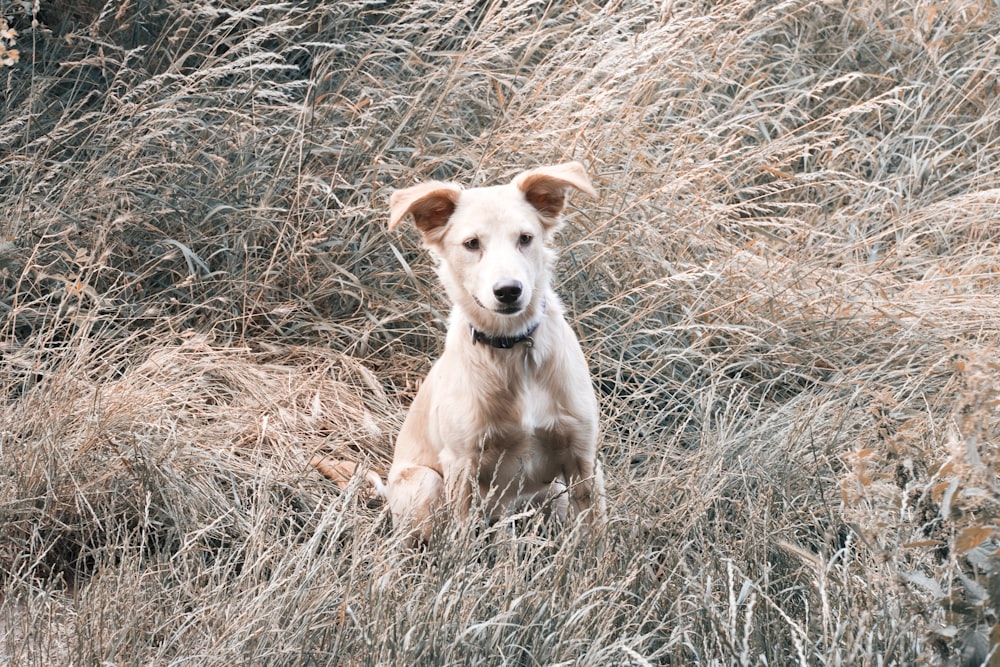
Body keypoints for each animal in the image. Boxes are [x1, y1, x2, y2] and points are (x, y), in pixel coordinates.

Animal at [316, 163, 604, 548]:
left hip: (552, 493)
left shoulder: (582, 458)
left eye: (525, 238)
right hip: (425, 483)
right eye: (471, 244)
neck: (512, 349)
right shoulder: (461, 463)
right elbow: (461, 540)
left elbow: (594, 537)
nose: (509, 291)